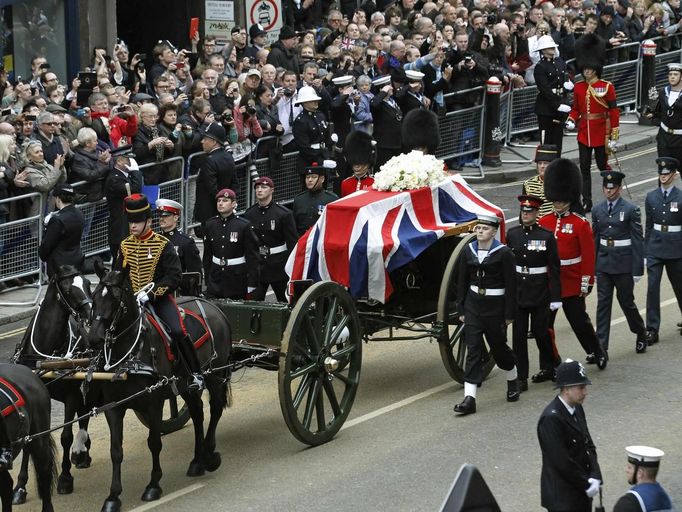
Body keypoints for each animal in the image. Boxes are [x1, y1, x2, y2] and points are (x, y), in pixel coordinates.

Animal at [11, 266, 94, 502]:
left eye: (87, 283)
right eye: (67, 288)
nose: (91, 313)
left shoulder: (71, 396)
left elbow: (65, 436)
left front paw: (65, 479)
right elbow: (30, 442)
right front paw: (20, 486)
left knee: (85, 416)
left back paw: (81, 453)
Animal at [89, 264, 231, 512]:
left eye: (116, 299)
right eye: (95, 296)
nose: (94, 337)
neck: (131, 352)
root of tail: (213, 306)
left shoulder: (153, 402)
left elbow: (154, 442)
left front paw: (153, 484)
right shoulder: (113, 407)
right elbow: (116, 451)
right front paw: (113, 496)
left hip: (215, 376)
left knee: (214, 410)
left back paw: (209, 453)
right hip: (186, 386)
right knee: (197, 413)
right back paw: (197, 460)